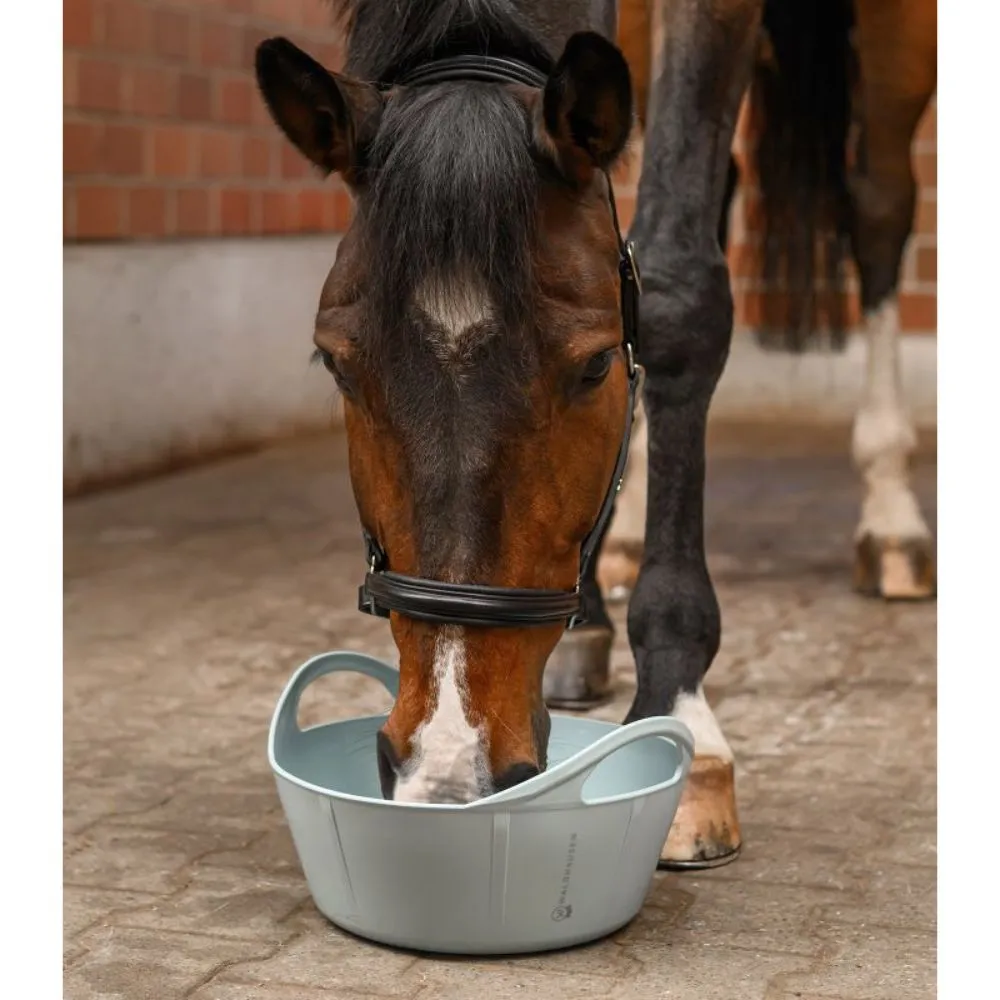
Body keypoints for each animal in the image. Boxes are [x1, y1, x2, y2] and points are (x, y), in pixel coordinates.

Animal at [254, 0, 936, 870]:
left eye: (595, 364)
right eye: (337, 363)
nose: (450, 760)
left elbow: (677, 294)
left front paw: (683, 712)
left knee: (879, 206)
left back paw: (891, 518)